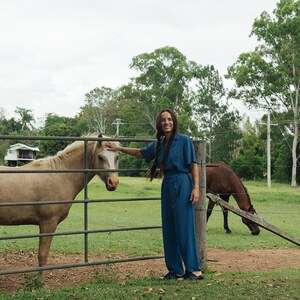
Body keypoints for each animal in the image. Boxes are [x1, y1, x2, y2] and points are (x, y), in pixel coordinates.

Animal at [0, 135, 119, 274]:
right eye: (100, 157)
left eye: (117, 157)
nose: (113, 182)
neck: (61, 175)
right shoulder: (48, 223)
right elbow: (42, 256)